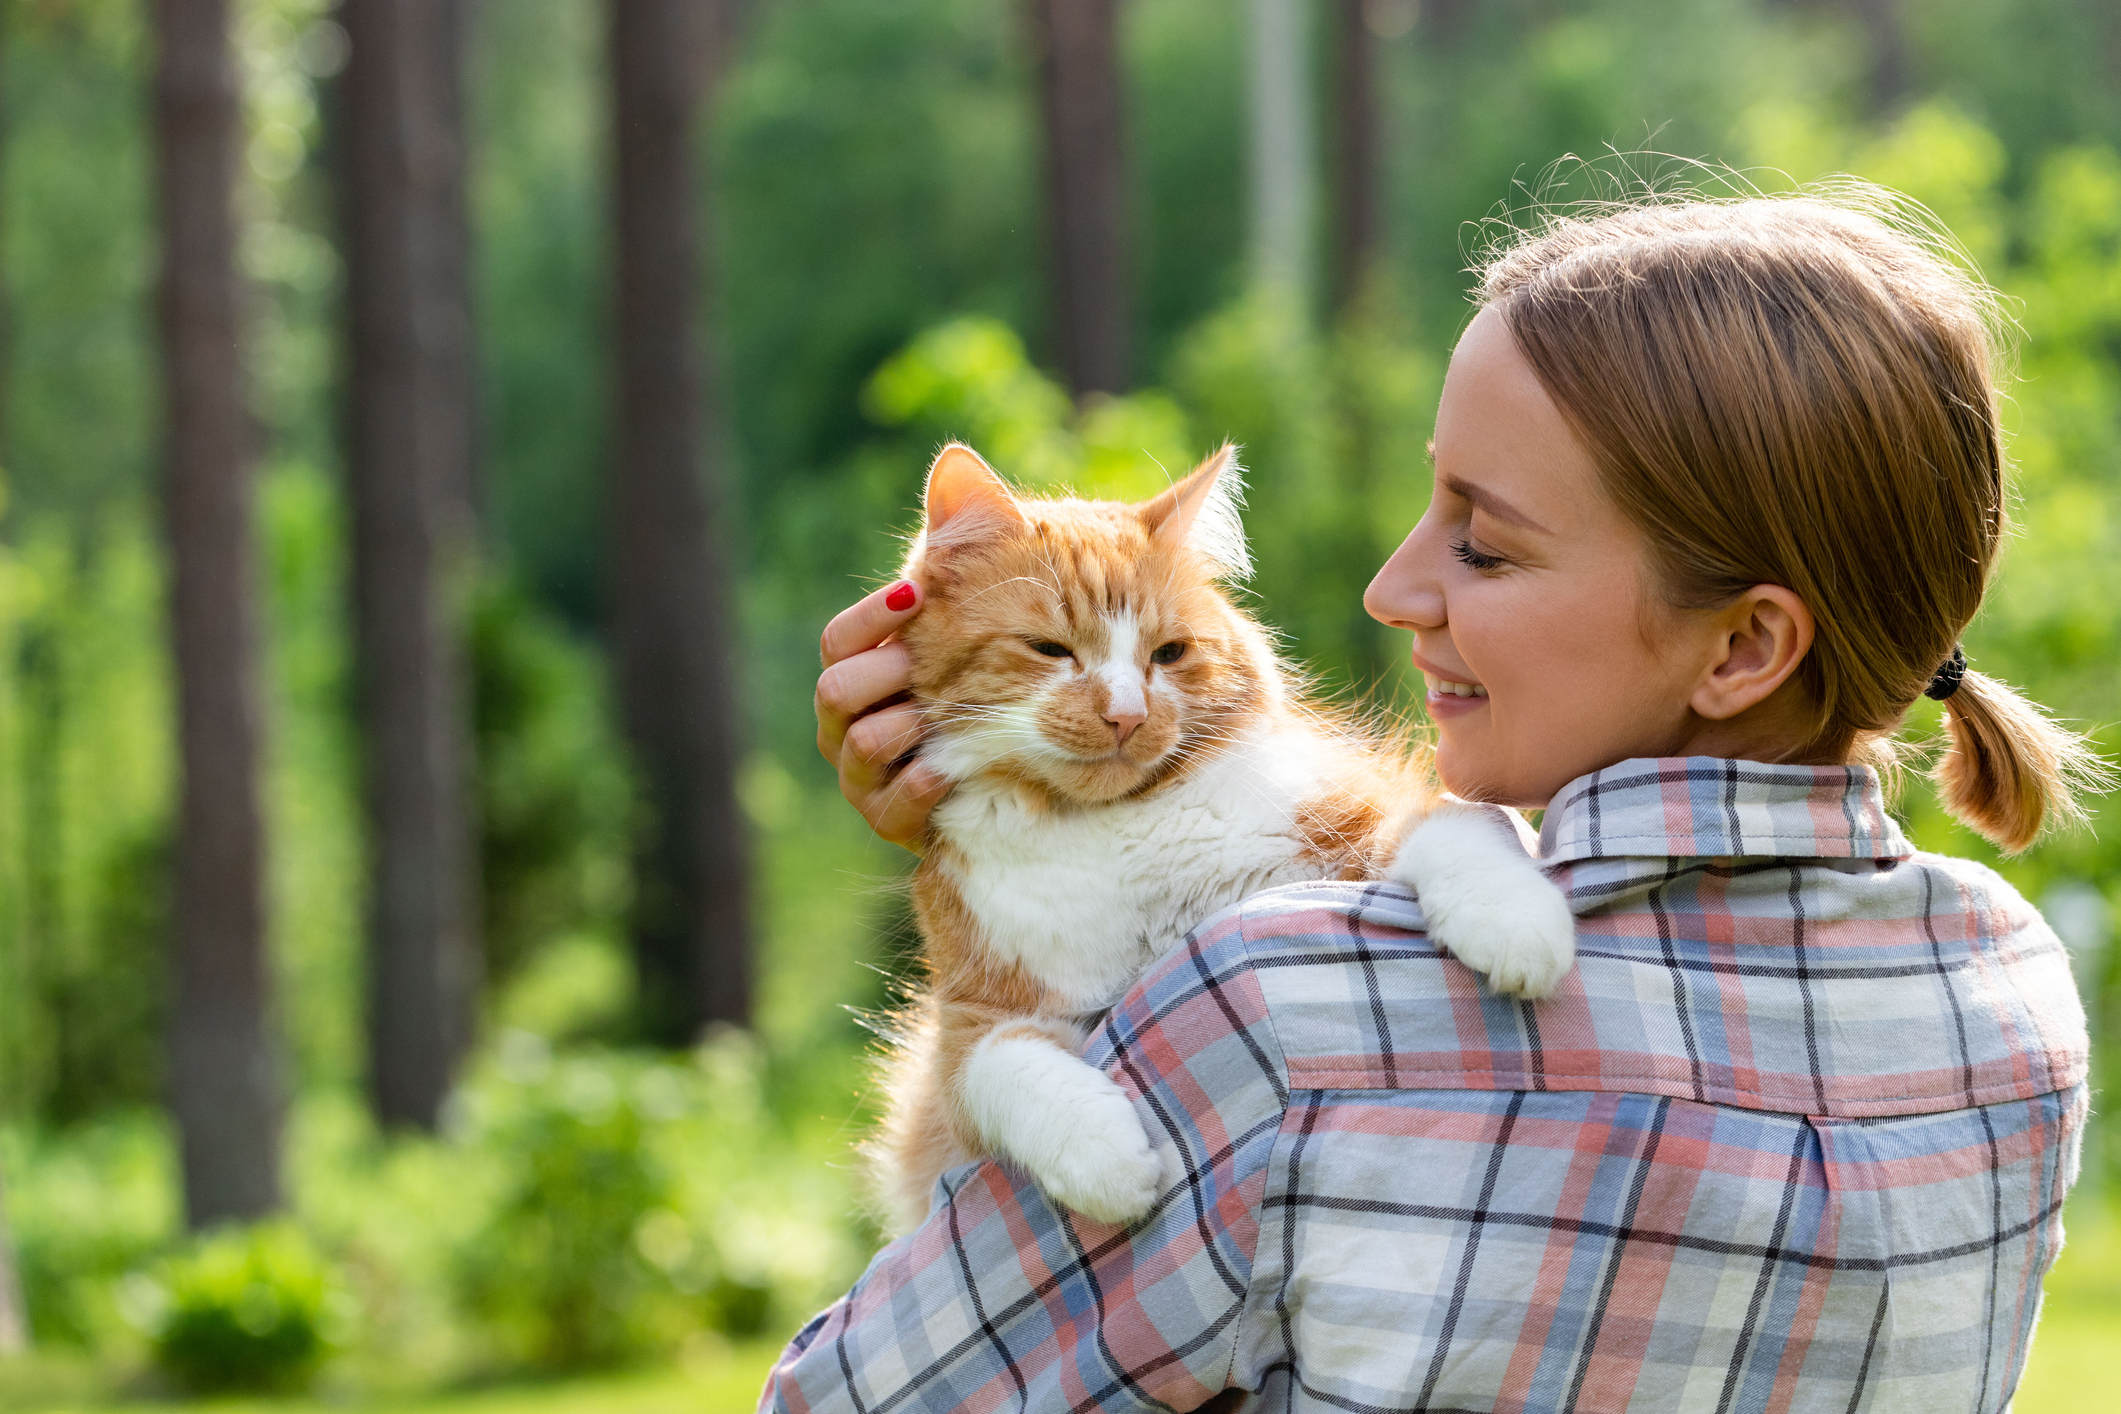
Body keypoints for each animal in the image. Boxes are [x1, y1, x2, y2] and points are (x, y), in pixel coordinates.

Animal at [861, 438, 1578, 1229]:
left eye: (1168, 654)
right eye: (1050, 649)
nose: (1126, 715)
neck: (1117, 829)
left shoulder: (1367, 815)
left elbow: (1453, 830)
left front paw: (1516, 925)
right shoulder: (967, 1028)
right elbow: (1002, 1069)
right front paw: (1106, 1162)